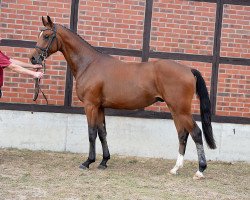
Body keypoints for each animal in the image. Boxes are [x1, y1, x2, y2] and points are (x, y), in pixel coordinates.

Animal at [30, 16, 216, 180]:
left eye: (46, 36)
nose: (33, 58)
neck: (89, 64)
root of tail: (188, 69)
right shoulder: (100, 107)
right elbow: (102, 132)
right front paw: (104, 161)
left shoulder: (90, 105)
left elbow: (91, 133)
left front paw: (88, 162)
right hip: (175, 110)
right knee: (182, 134)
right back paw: (175, 168)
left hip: (180, 110)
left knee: (196, 133)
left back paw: (200, 170)